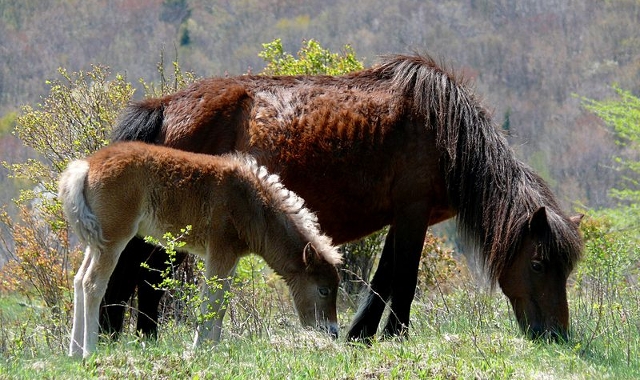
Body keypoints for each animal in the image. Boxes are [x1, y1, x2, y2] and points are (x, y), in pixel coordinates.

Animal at [57, 141, 342, 358]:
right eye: (323, 290)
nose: (333, 332)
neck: (253, 204)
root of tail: (86, 165)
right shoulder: (220, 251)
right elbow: (211, 301)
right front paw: (199, 350)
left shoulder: (231, 258)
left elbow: (221, 301)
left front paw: (213, 348)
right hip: (114, 238)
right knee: (93, 284)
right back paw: (89, 351)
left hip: (96, 242)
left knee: (79, 280)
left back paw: (74, 352)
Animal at [107, 55, 584, 342]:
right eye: (538, 264)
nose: (556, 336)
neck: (446, 132)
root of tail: (166, 106)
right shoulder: (412, 215)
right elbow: (404, 279)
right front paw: (396, 335)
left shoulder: (406, 218)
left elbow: (383, 278)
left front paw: (362, 334)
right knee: (140, 272)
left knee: (143, 275)